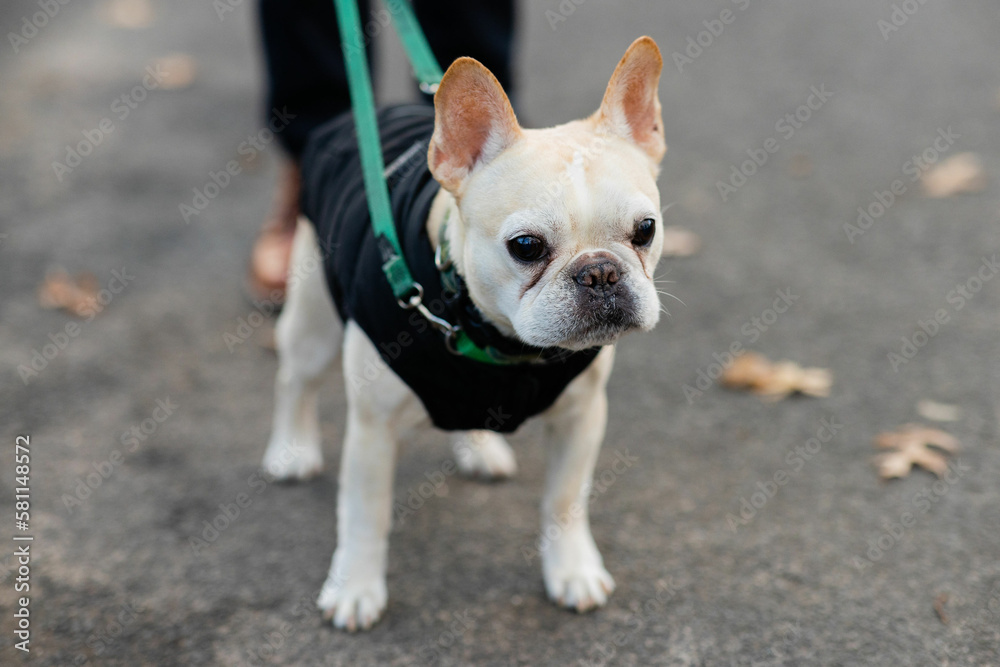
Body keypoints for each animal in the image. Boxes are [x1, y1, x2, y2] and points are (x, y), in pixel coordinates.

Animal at [260, 36, 664, 632]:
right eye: (526, 246)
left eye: (646, 230)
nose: (600, 273)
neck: (504, 345)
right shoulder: (372, 431)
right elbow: (364, 515)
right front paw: (355, 587)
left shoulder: (582, 416)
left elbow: (565, 500)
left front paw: (571, 569)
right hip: (313, 316)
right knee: (295, 379)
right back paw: (290, 448)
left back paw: (479, 447)